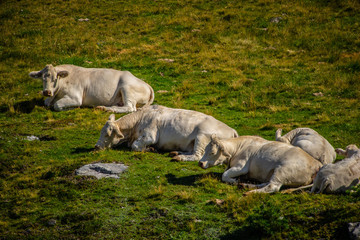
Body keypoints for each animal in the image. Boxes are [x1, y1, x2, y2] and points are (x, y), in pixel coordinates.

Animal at [94, 105, 238, 161]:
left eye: (107, 134)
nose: (96, 146)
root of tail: (231, 130)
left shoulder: (149, 136)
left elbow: (135, 146)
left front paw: (150, 149)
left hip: (202, 137)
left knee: (197, 155)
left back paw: (179, 157)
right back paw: (175, 152)